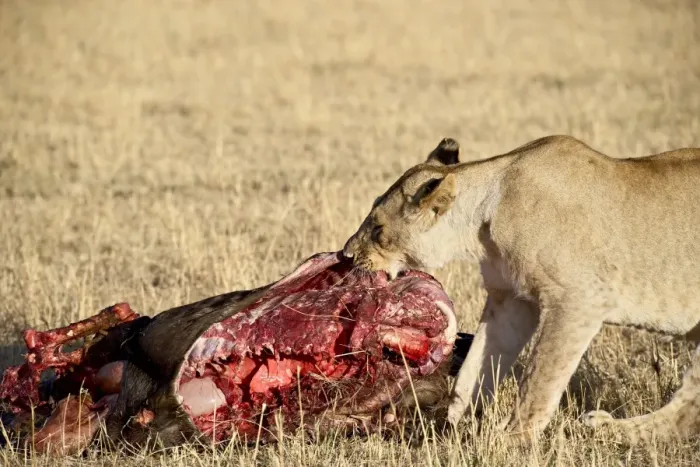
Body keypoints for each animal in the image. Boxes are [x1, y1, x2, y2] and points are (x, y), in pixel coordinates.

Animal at [342, 135, 700, 444]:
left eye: (378, 229)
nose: (346, 255)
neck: (483, 223)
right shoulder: (510, 301)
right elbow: (476, 368)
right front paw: (451, 426)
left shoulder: (579, 300)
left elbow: (538, 380)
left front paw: (512, 439)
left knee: (687, 410)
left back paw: (604, 429)